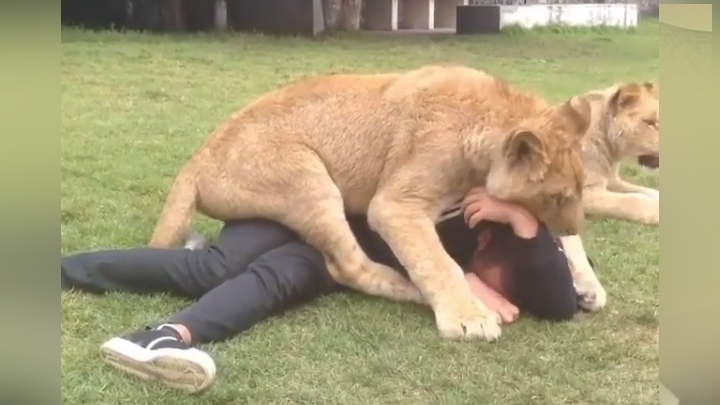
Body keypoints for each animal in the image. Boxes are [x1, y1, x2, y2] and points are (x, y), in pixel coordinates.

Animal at [148, 64, 592, 340]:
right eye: (558, 196)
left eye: (580, 190)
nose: (575, 223)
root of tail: (196, 159)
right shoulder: (396, 204)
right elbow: (437, 262)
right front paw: (469, 319)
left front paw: (588, 285)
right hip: (309, 177)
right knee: (348, 266)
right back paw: (433, 291)